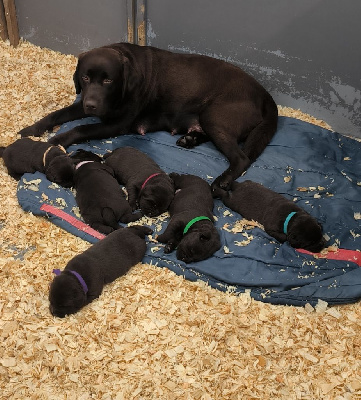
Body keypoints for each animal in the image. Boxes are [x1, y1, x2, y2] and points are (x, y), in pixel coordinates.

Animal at [18, 41, 278, 191]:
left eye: (108, 80)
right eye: (85, 77)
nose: (91, 105)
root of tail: (265, 94)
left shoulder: (117, 124)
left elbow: (80, 128)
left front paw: (55, 140)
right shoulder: (83, 104)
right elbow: (55, 115)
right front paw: (31, 129)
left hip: (214, 116)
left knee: (241, 158)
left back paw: (222, 180)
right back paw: (189, 139)